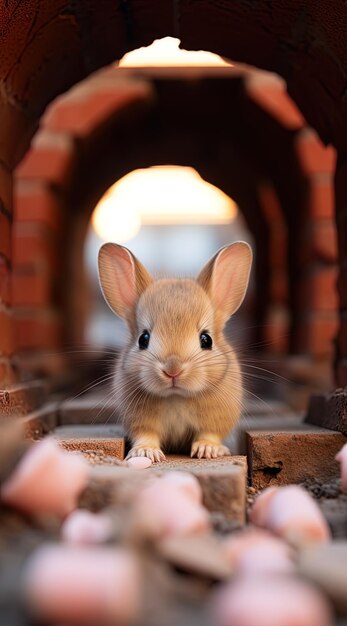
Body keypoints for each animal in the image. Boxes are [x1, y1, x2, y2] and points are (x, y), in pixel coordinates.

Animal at [98, 241, 253, 460]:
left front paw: (207, 450)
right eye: (143, 339)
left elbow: (209, 434)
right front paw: (146, 452)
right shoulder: (141, 422)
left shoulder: (215, 420)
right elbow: (146, 436)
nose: (173, 370)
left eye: (206, 340)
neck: (176, 397)